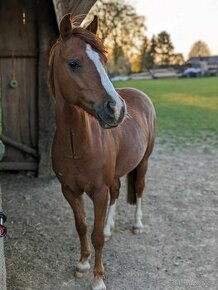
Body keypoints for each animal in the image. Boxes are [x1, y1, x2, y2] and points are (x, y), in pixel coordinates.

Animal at [48, 14, 156, 290]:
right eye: (73, 63)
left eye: (104, 61)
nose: (117, 109)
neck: (76, 145)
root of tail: (140, 94)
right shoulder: (69, 191)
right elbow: (82, 227)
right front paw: (83, 264)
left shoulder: (98, 192)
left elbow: (96, 236)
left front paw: (98, 279)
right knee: (117, 191)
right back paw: (110, 227)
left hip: (144, 162)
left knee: (139, 189)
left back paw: (137, 225)